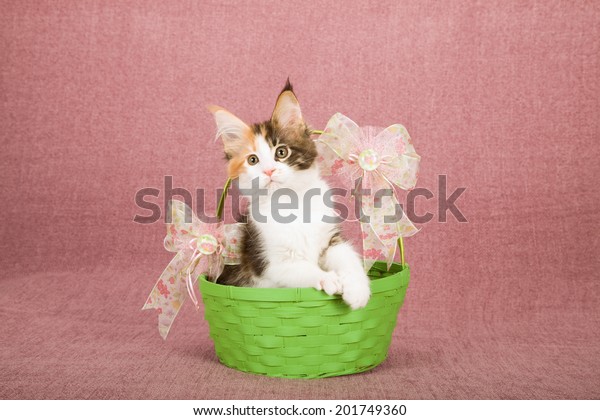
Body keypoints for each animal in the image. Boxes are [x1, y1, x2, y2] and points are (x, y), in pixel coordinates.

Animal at [210, 80, 370, 308]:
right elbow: (302, 268)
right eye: (253, 160)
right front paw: (328, 278)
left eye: (281, 152)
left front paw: (358, 289)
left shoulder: (330, 240)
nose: (269, 171)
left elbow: (348, 256)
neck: (291, 203)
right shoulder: (270, 264)